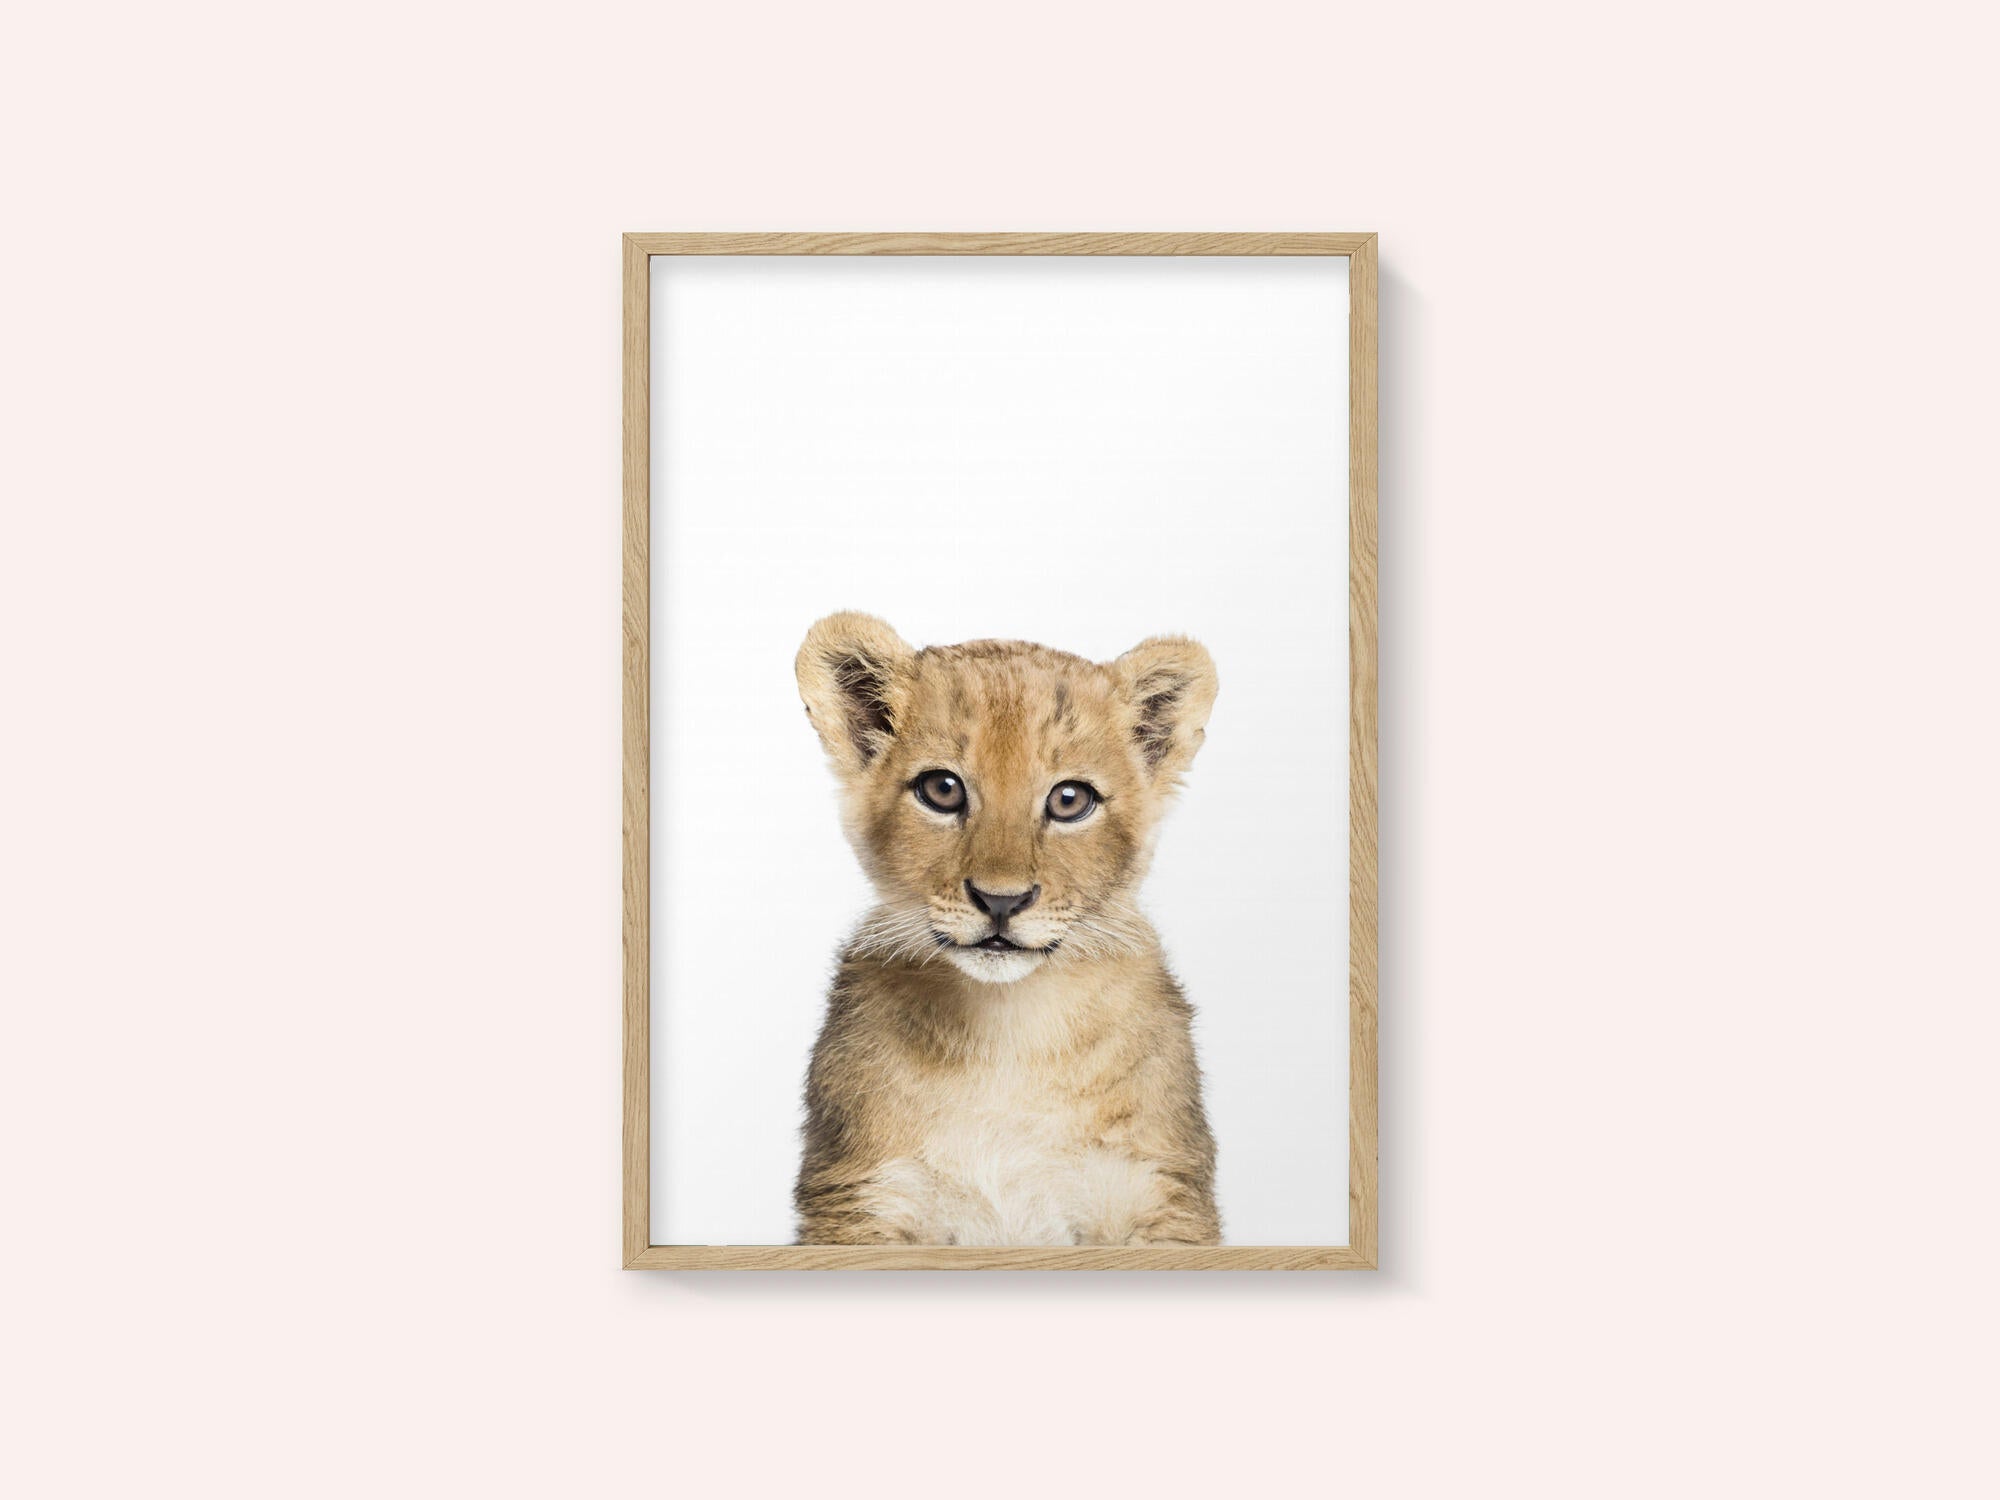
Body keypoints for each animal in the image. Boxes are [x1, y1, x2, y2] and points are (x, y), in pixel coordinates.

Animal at [791, 612, 1222, 1247]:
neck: (1008, 1032)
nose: (1001, 901)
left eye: (1069, 799)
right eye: (942, 789)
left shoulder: (1158, 1194)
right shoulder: (862, 1197)